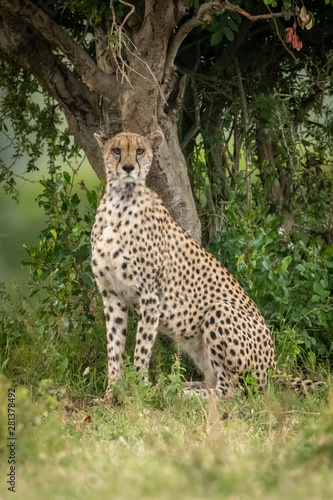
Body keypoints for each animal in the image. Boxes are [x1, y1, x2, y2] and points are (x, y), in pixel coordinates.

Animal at [92, 131, 320, 400]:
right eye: (116, 150)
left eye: (140, 151)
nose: (128, 168)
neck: (121, 198)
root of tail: (274, 364)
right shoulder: (111, 294)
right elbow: (114, 348)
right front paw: (110, 393)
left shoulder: (151, 294)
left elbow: (142, 347)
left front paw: (140, 390)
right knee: (215, 382)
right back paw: (181, 386)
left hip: (219, 311)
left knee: (231, 392)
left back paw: (179, 394)